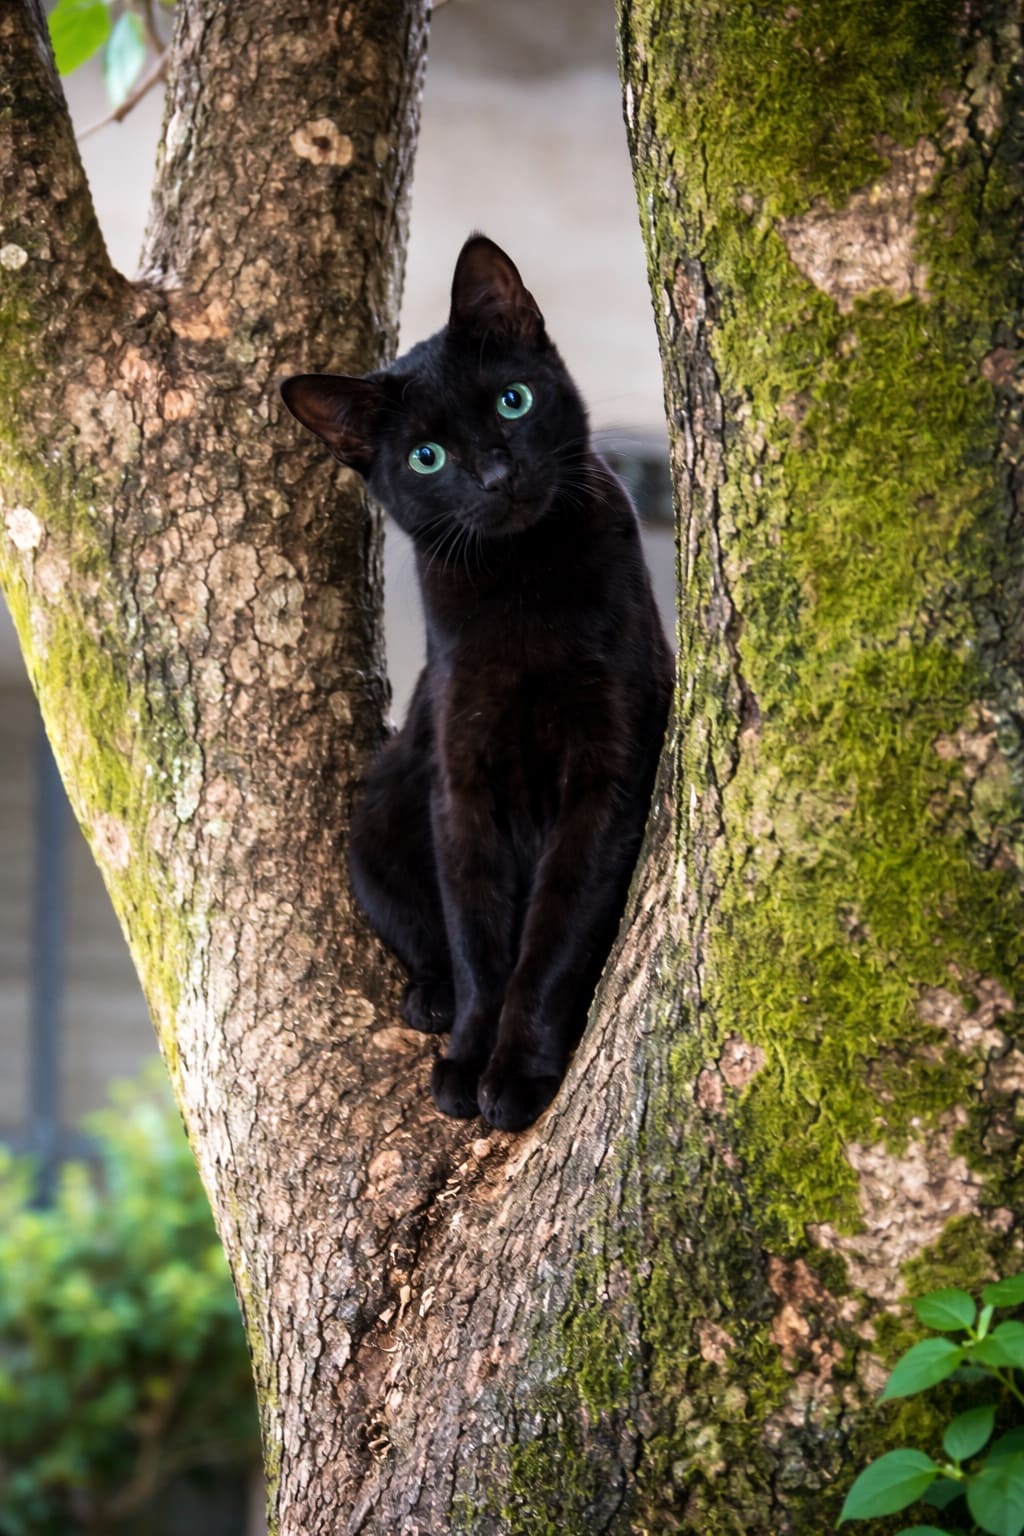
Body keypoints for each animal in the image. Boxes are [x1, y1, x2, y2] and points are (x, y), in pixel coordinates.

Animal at [280, 235, 672, 1131]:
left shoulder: (605, 777)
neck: (522, 588)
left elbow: (550, 943)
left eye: (513, 402)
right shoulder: (461, 781)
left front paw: (519, 1073)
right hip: (381, 815)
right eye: (426, 457)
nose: (496, 474)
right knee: (426, 940)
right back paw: (430, 1002)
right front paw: (467, 1057)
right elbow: (477, 937)